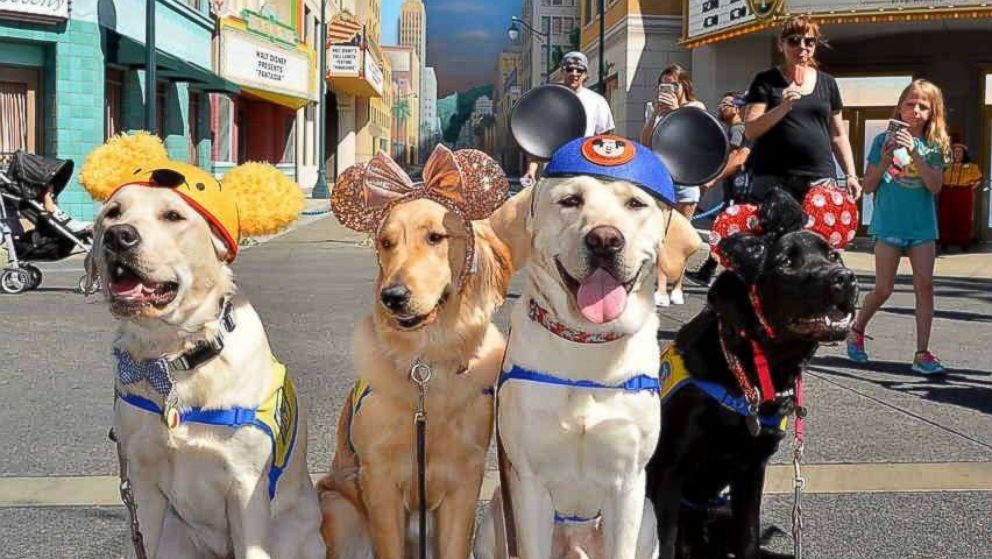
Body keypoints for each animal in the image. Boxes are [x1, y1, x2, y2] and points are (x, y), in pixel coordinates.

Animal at [86, 176, 322, 559]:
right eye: (113, 212)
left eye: (173, 215)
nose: (118, 236)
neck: (173, 357)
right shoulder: (143, 486)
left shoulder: (245, 485)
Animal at [318, 194, 516, 559]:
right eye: (386, 243)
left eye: (436, 237)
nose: (392, 296)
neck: (426, 364)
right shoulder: (379, 479)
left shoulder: (464, 480)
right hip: (338, 508)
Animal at [648, 189, 856, 559]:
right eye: (786, 262)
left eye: (833, 255)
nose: (845, 278)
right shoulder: (669, 473)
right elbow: (664, 544)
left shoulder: (751, 472)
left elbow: (749, 540)